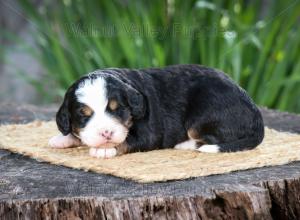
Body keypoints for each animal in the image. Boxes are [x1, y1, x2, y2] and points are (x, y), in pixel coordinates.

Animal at [48, 63, 264, 158]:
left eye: (118, 110)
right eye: (83, 115)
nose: (106, 133)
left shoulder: (149, 134)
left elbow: (126, 141)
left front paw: (105, 149)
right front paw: (61, 139)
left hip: (201, 116)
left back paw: (183, 144)